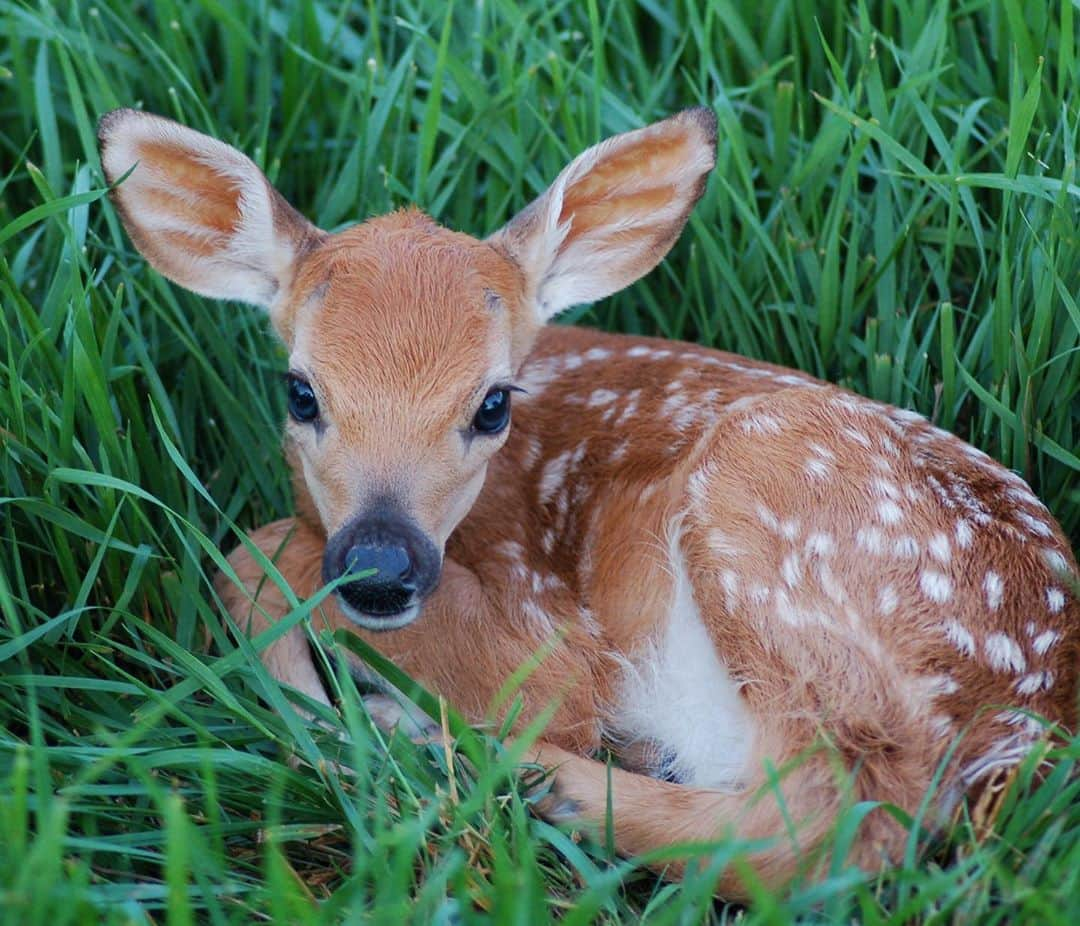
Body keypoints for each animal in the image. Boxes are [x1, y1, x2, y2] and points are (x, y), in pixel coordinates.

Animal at [97, 106, 1075, 894]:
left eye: (493, 403)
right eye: (301, 392)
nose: (379, 568)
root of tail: (1031, 719)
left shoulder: (551, 633)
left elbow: (257, 554)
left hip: (769, 501)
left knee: (834, 822)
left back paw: (497, 766)